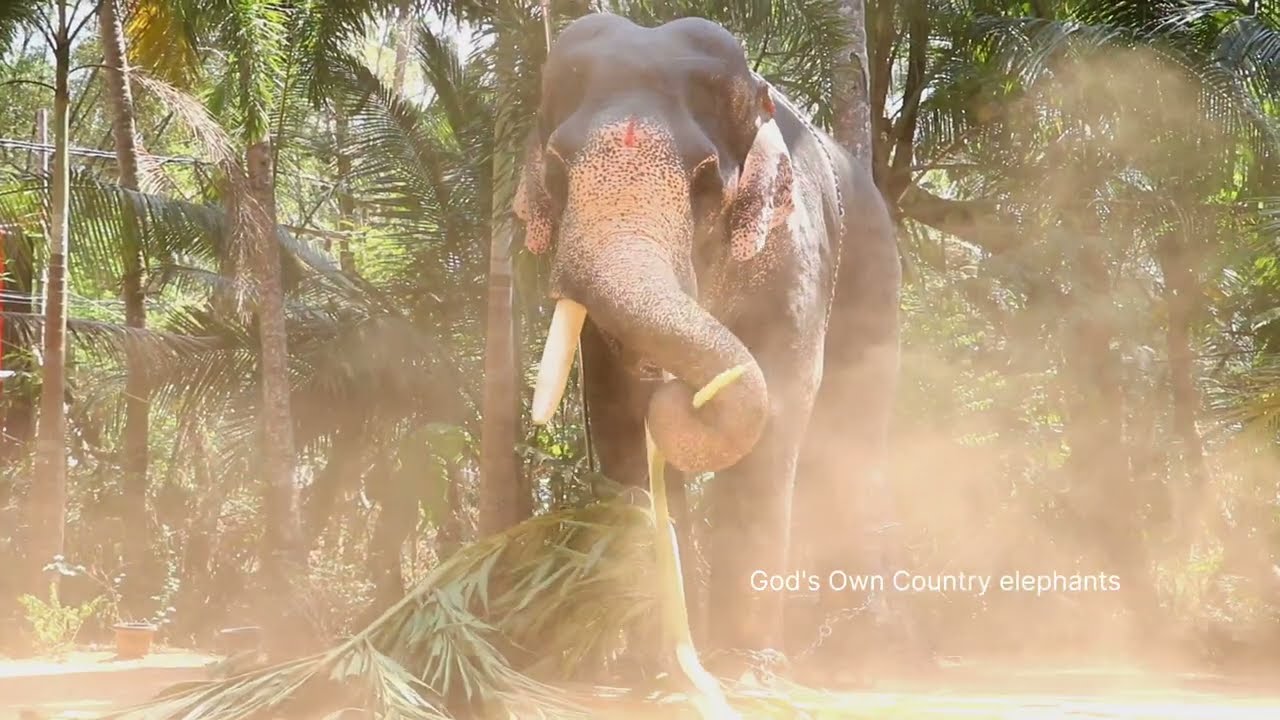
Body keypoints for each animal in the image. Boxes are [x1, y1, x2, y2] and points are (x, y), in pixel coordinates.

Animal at [515, 13, 903, 677]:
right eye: (558, 171)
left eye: (703, 178)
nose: (686, 390)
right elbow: (615, 411)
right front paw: (655, 663)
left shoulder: (796, 250)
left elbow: (780, 399)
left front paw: (743, 666)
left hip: (876, 289)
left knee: (849, 438)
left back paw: (848, 651)